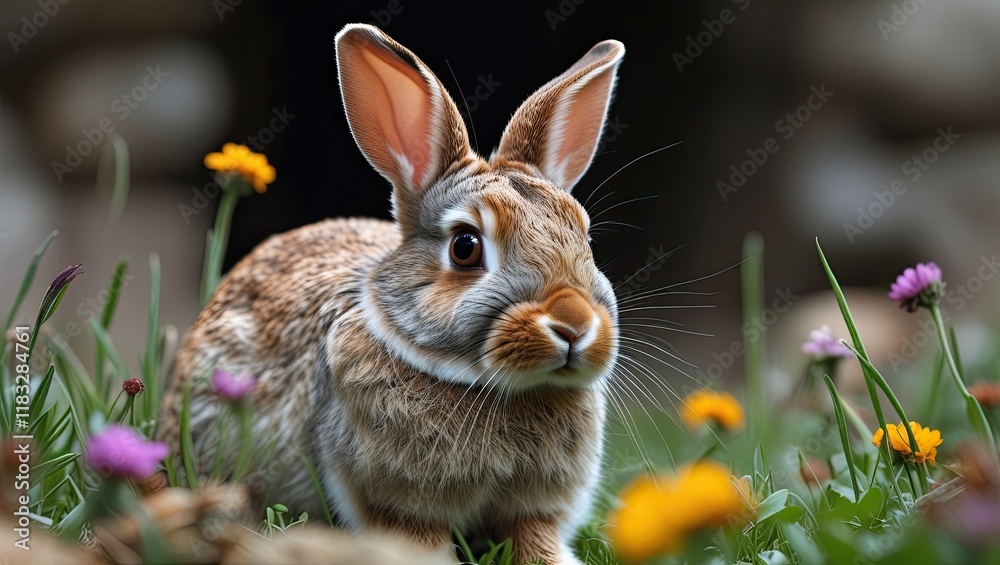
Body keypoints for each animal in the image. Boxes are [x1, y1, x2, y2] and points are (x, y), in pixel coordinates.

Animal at [157, 23, 624, 565]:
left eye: (586, 239)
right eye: (465, 247)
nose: (574, 325)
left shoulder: (535, 508)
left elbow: (536, 537)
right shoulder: (396, 505)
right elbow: (419, 539)